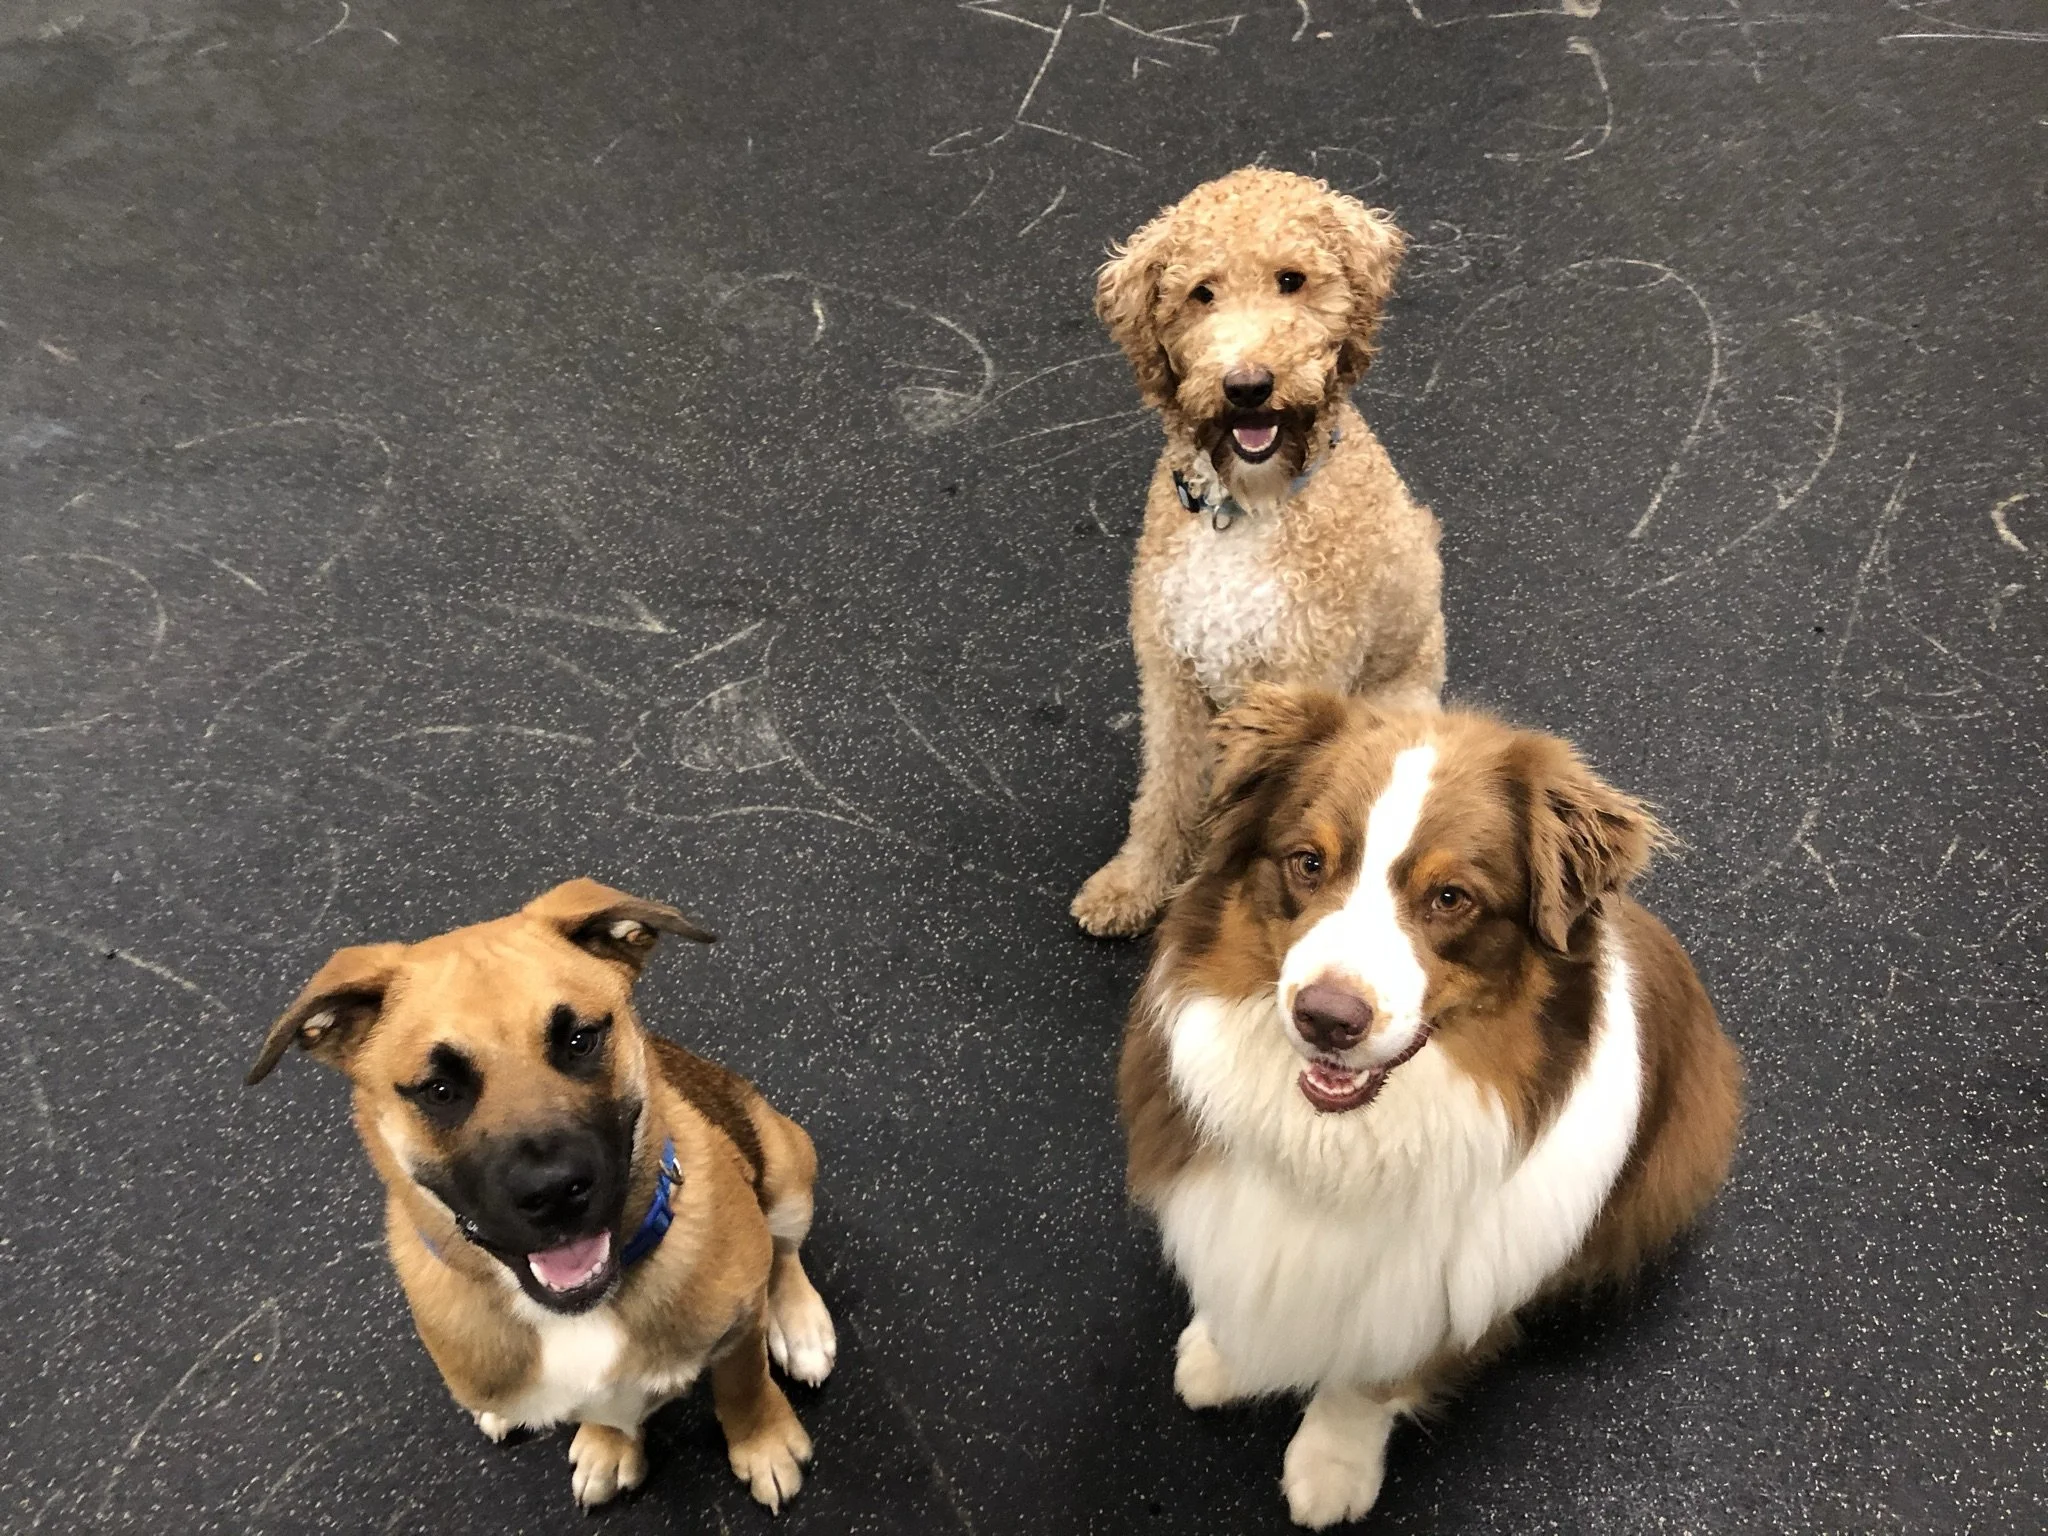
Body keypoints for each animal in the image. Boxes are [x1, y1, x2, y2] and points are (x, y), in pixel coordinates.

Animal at [246, 879, 835, 1511]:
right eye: (439, 1090)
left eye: (580, 1041)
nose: (553, 1193)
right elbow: (600, 1409)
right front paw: (609, 1443)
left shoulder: (737, 1332)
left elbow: (744, 1385)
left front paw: (764, 1443)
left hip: (787, 1162)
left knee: (784, 1251)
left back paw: (800, 1326)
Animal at [1071, 168, 1447, 938]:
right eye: (1200, 293)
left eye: (1291, 280)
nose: (1247, 386)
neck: (1242, 509)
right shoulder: (1172, 674)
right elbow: (1165, 791)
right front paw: (1134, 884)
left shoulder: (1303, 672)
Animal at [1118, 687, 1742, 1527]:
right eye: (1308, 862)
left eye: (1451, 898)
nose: (1327, 1018)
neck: (1336, 1148)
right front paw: (1225, 1356)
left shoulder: (1433, 1299)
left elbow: (1367, 1379)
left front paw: (1331, 1466)